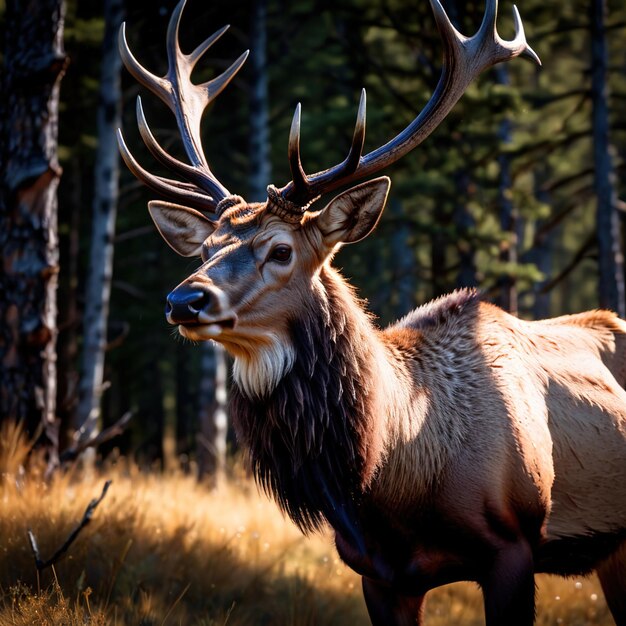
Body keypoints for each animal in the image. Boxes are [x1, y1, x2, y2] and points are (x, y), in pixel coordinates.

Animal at [118, 2, 624, 620]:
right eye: (205, 249)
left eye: (281, 250)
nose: (183, 300)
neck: (392, 483)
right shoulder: (379, 574)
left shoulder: (514, 546)